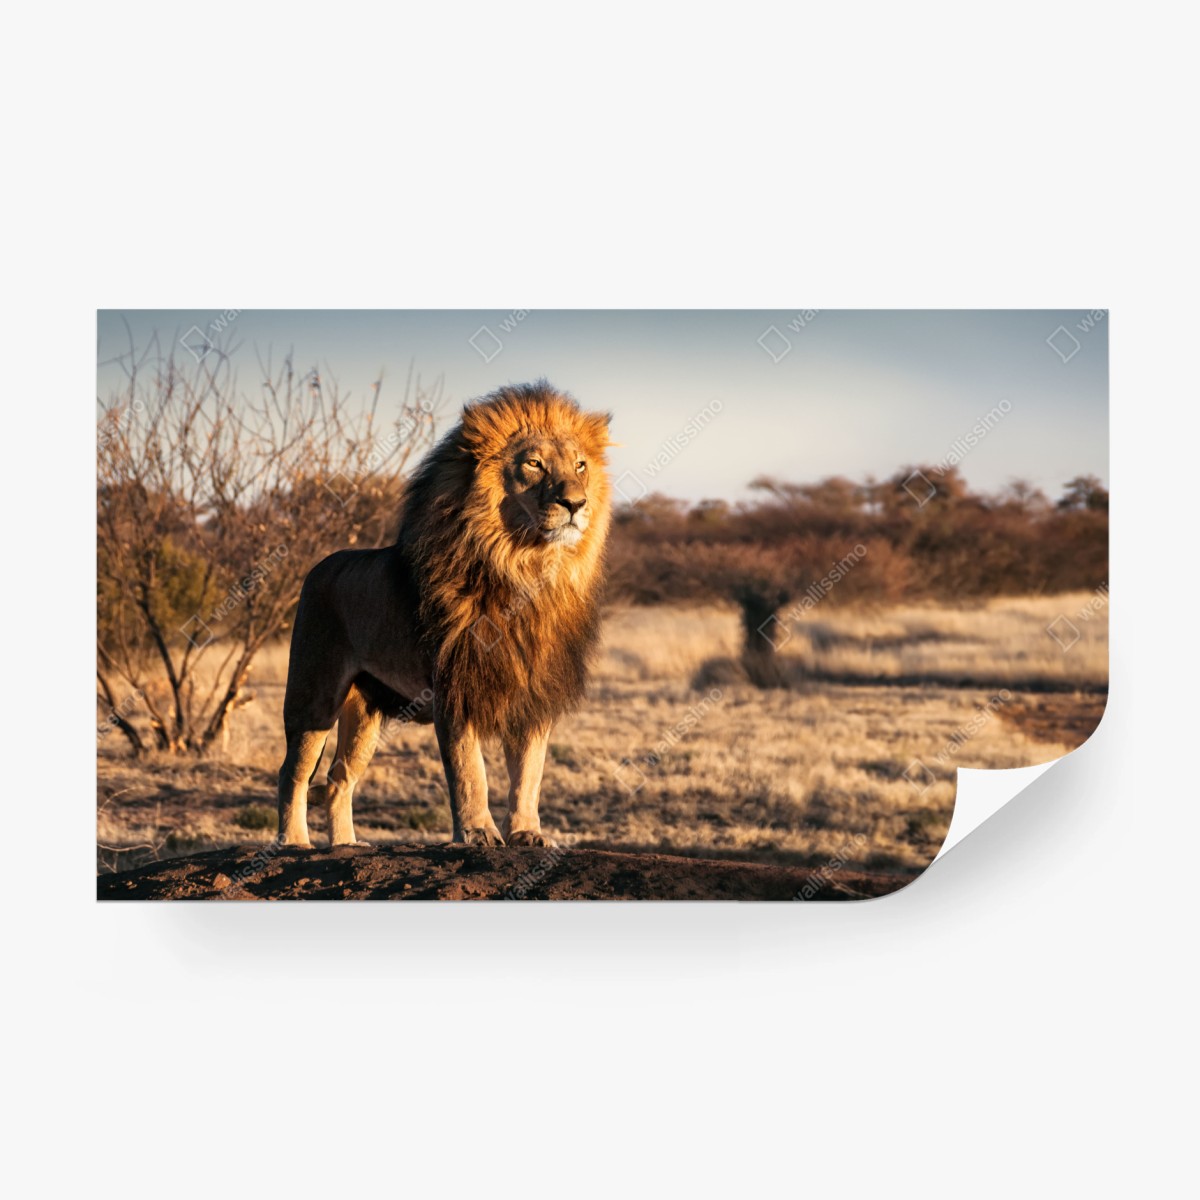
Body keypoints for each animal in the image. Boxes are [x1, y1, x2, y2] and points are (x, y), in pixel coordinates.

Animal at [277, 381, 613, 849]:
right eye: (534, 464)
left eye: (580, 465)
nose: (576, 503)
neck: (525, 568)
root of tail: (318, 566)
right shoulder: (455, 687)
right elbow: (470, 771)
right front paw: (477, 833)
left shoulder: (533, 692)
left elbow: (529, 773)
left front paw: (527, 833)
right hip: (314, 696)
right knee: (293, 772)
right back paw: (293, 842)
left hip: (365, 712)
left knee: (339, 778)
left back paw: (346, 844)